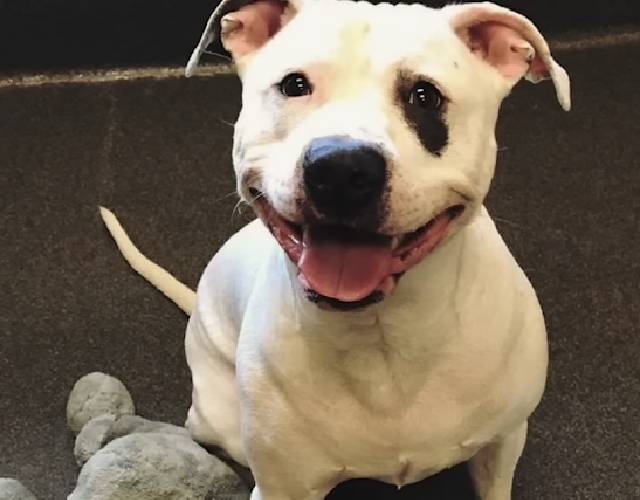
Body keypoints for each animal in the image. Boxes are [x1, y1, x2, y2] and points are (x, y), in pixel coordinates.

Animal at [100, 1, 568, 498]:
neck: (382, 336)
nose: (341, 168)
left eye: (425, 96)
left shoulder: (502, 444)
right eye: (294, 85)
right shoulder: (283, 485)